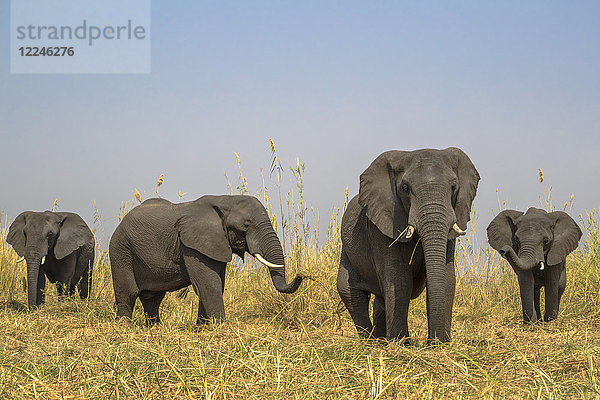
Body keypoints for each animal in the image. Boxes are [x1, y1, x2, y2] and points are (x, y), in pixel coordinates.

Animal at [108, 195, 304, 324]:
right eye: (246, 225)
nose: (302, 274)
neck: (224, 200)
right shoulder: (191, 244)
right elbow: (208, 283)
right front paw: (220, 326)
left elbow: (216, 283)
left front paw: (202, 327)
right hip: (120, 250)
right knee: (129, 292)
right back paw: (124, 327)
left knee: (153, 298)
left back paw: (155, 327)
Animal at [336, 148, 480, 342]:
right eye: (405, 188)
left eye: (453, 187)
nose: (433, 341)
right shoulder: (382, 225)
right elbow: (399, 279)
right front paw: (402, 343)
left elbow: (447, 278)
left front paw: (441, 343)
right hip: (347, 252)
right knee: (350, 292)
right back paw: (371, 341)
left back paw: (381, 339)